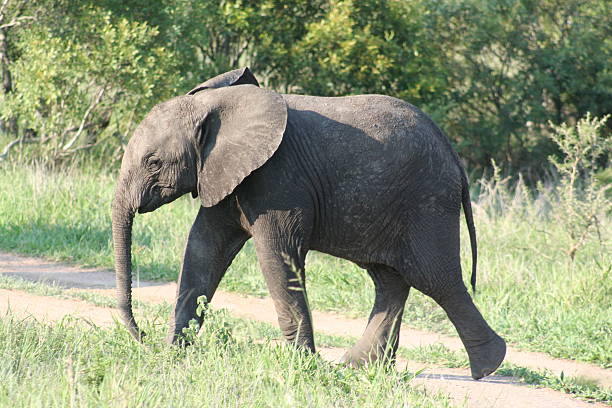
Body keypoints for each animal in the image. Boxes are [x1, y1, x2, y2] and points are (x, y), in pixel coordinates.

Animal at [111, 66, 506, 380]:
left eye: (153, 163)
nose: (143, 338)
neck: (218, 103)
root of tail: (453, 153)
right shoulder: (226, 176)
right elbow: (203, 249)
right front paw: (174, 353)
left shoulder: (278, 179)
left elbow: (277, 256)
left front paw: (302, 366)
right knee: (391, 280)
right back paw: (361, 367)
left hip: (427, 200)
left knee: (435, 278)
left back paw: (488, 366)